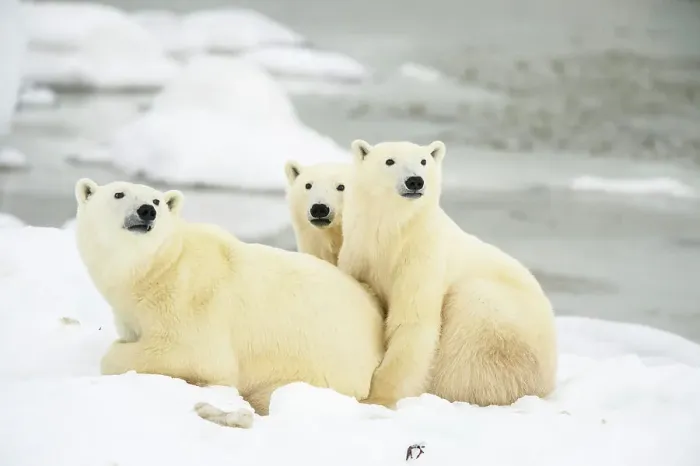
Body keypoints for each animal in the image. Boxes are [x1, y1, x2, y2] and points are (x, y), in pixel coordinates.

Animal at [73, 178, 385, 423]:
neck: (156, 270)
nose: (146, 211)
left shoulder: (188, 303)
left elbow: (192, 356)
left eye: (156, 201)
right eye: (119, 194)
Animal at [337, 140, 558, 409]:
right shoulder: (359, 253)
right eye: (390, 161)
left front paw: (378, 399)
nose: (415, 181)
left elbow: (412, 322)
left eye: (423, 161)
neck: (392, 235)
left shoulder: (422, 256)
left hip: (501, 324)